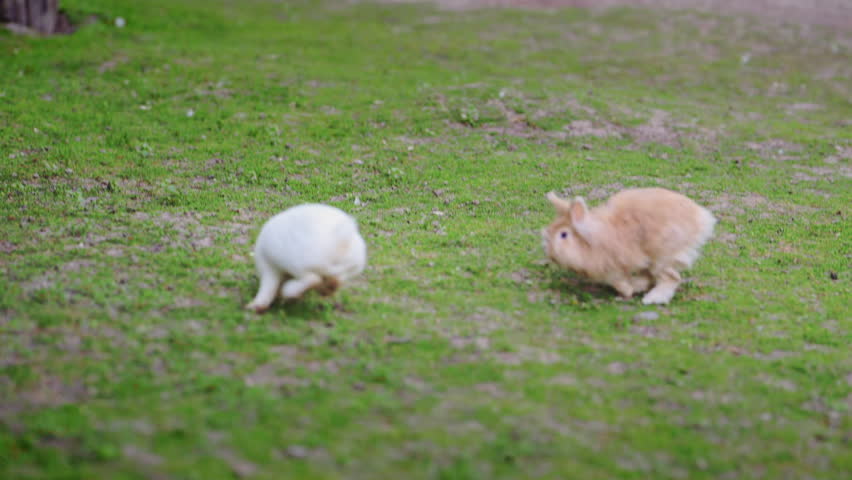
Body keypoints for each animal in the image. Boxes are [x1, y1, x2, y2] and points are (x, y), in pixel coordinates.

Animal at [542, 188, 715, 305]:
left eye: (563, 235)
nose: (549, 254)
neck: (591, 241)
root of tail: (702, 218)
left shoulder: (613, 268)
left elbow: (619, 283)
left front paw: (626, 292)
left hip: (662, 258)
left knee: (671, 278)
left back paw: (652, 298)